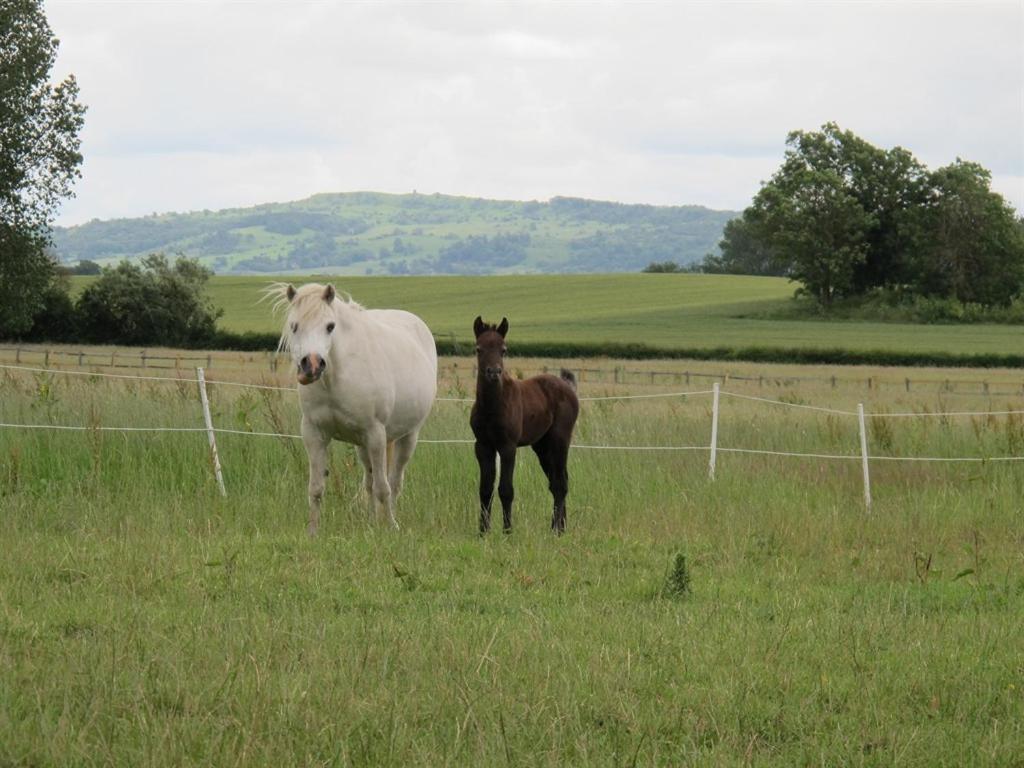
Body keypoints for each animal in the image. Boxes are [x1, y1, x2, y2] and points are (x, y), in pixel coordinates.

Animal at [272, 282, 436, 536]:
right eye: (294, 326)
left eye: (330, 326)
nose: (311, 365)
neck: (337, 378)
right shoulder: (314, 434)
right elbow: (316, 488)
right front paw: (313, 532)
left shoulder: (376, 434)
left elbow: (383, 488)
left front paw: (390, 527)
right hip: (363, 445)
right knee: (369, 482)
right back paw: (371, 522)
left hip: (408, 436)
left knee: (394, 481)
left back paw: (389, 520)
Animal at [468, 315, 581, 532]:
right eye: (478, 349)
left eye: (504, 349)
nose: (494, 372)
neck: (492, 406)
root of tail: (567, 386)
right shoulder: (483, 446)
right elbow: (485, 489)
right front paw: (483, 532)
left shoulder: (508, 446)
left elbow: (506, 490)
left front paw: (507, 531)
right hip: (542, 446)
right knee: (557, 482)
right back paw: (560, 528)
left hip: (560, 440)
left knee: (561, 483)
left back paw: (557, 530)